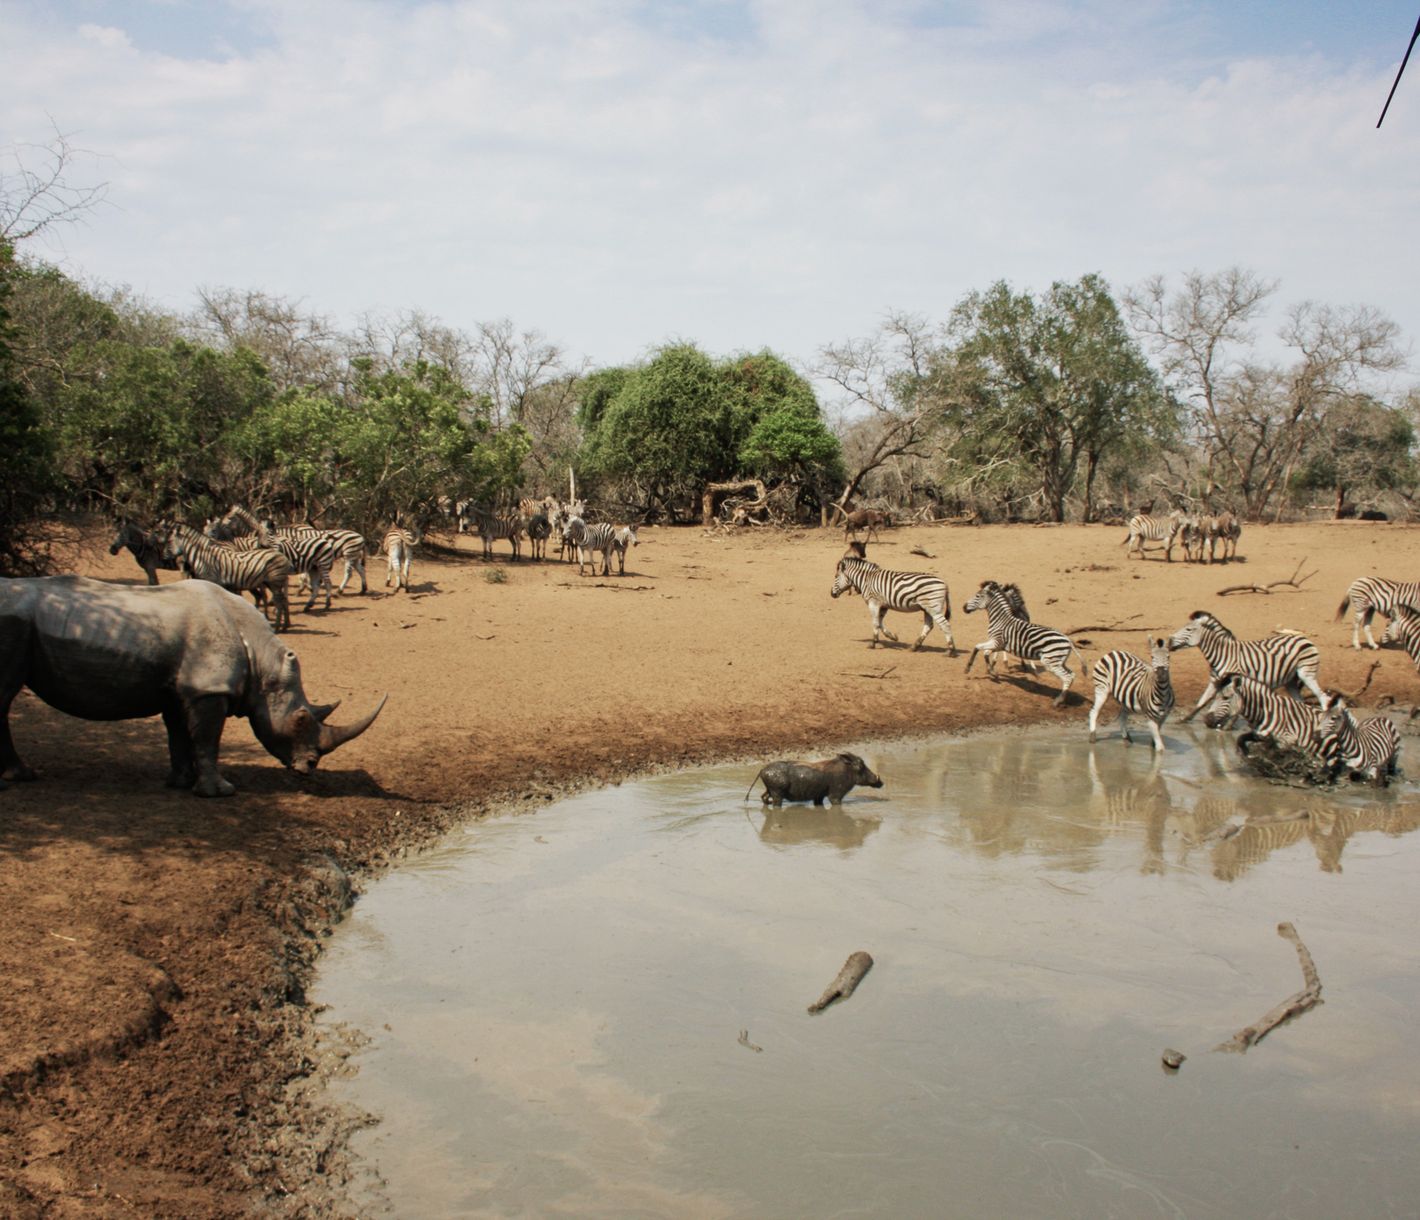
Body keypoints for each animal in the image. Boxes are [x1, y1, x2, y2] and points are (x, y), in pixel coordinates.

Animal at [161, 521, 292, 631]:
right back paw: (285, 626)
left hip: (275, 582)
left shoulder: (211, 580)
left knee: (279, 602)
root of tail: (283, 556)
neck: (203, 557)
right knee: (283, 600)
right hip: (270, 582)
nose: (163, 557)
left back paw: (277, 627)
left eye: (169, 542)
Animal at [1169, 610, 1328, 722]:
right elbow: (1202, 701)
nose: (1169, 641)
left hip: (1306, 673)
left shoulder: (1235, 681)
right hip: (1291, 681)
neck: (1222, 654)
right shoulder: (1215, 681)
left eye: (1189, 629)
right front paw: (1184, 720)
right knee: (1300, 701)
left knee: (1323, 698)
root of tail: (1304, 638)